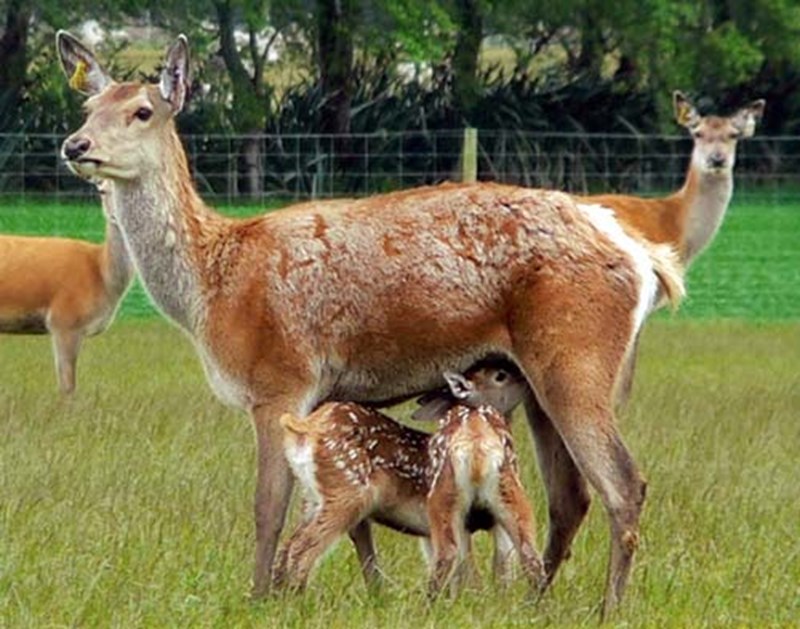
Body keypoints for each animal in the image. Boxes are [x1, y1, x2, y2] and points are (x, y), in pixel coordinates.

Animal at [273, 361, 543, 597]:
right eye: (500, 375)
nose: (527, 379)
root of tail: (306, 427)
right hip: (350, 491)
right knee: (301, 548)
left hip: (313, 497)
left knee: (287, 546)